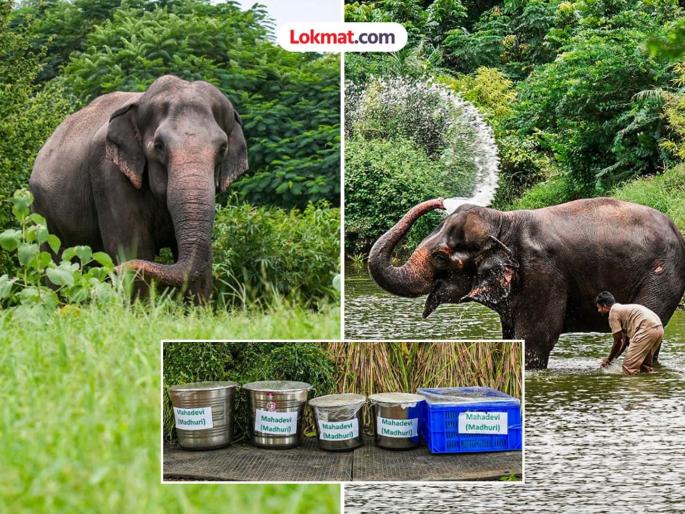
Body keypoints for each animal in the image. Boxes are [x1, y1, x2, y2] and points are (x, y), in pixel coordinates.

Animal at [29, 75, 248, 301]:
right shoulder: (107, 171)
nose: (113, 271)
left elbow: (202, 259)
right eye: (159, 146)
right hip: (41, 214)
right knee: (55, 261)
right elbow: (132, 248)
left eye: (222, 148)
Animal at [368, 197, 685, 368]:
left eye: (440, 256)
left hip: (662, 278)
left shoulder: (543, 273)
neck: (503, 221)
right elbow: (512, 336)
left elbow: (535, 337)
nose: (441, 201)